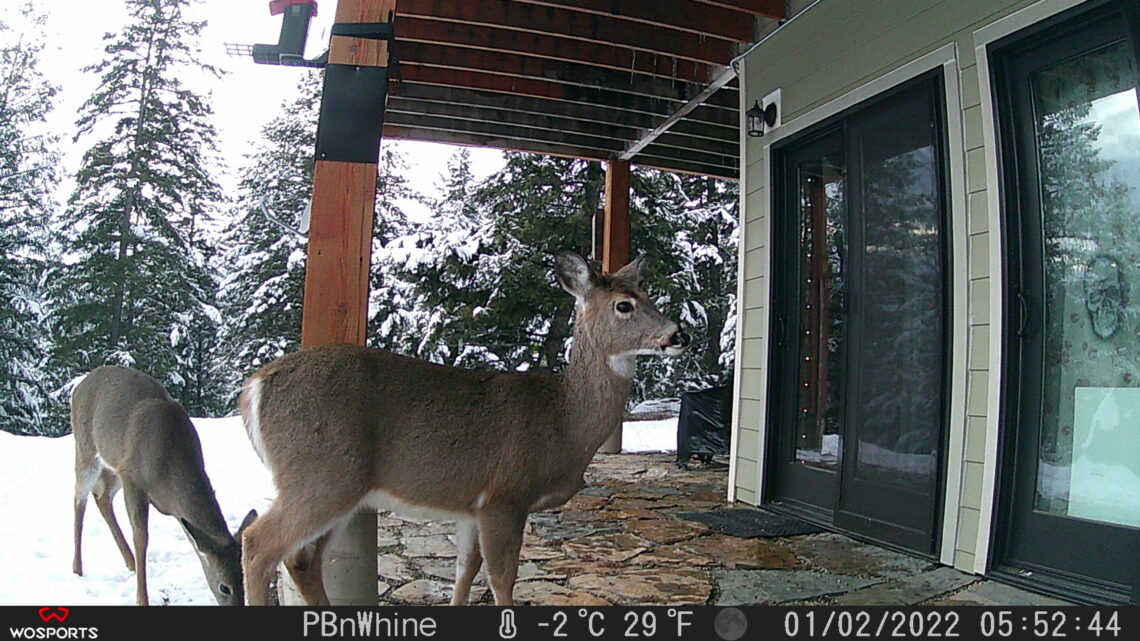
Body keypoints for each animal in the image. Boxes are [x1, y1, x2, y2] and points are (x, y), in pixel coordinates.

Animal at [70, 365, 257, 606]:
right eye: (224, 587)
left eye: (243, 579)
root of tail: (80, 385)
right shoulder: (133, 478)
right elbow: (141, 536)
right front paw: (142, 599)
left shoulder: (125, 471)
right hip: (85, 448)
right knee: (79, 498)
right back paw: (77, 568)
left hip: (113, 463)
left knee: (102, 497)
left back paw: (129, 562)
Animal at [238, 251, 689, 606]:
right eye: (625, 305)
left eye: (649, 296)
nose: (678, 334)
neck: (563, 419)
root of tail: (254, 387)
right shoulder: (505, 495)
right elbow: (502, 579)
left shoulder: (472, 503)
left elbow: (465, 570)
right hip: (321, 474)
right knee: (259, 545)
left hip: (339, 489)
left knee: (301, 560)